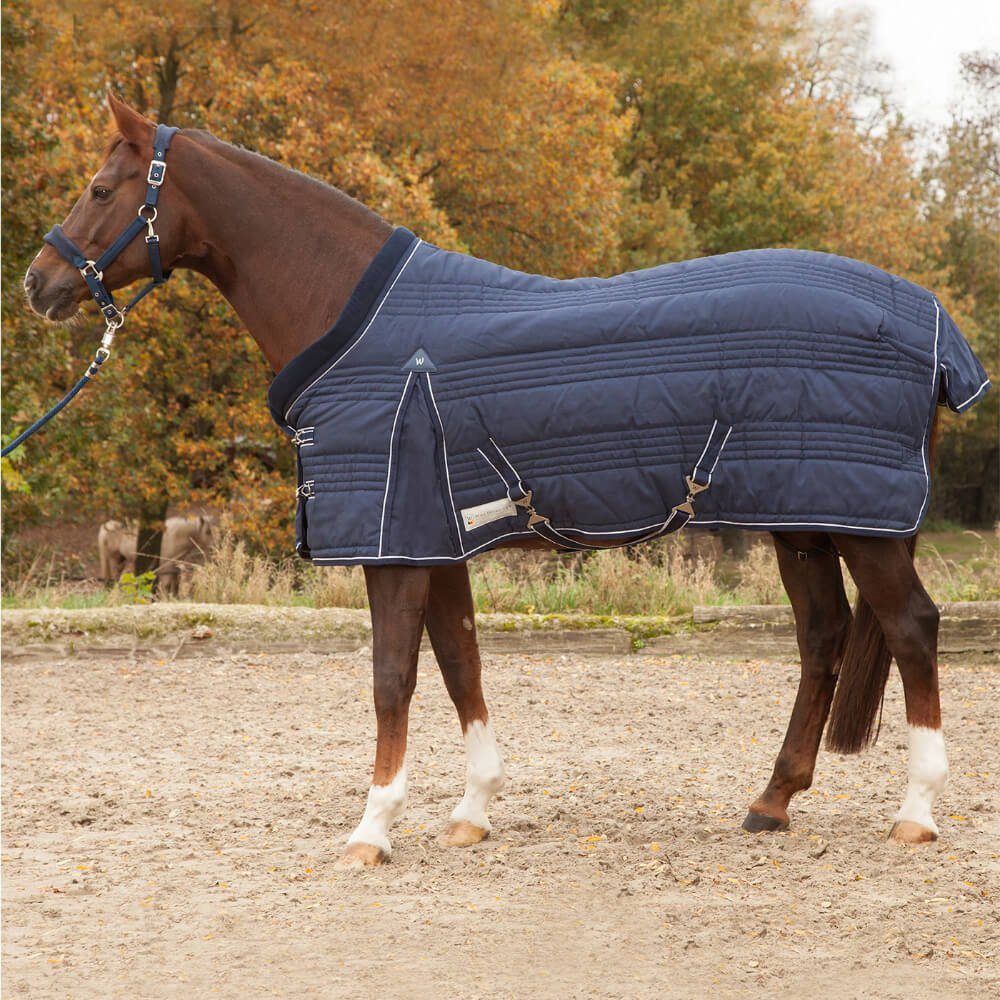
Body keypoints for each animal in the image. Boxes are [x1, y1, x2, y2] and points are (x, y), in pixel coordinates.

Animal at [22, 94, 965, 868]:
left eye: (101, 189)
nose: (39, 282)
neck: (361, 324)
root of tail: (929, 316)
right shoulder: (434, 540)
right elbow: (461, 664)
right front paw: (471, 812)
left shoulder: (396, 545)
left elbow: (393, 677)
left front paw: (373, 829)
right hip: (804, 519)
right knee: (823, 636)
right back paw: (772, 801)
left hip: (862, 528)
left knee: (911, 628)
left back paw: (916, 814)